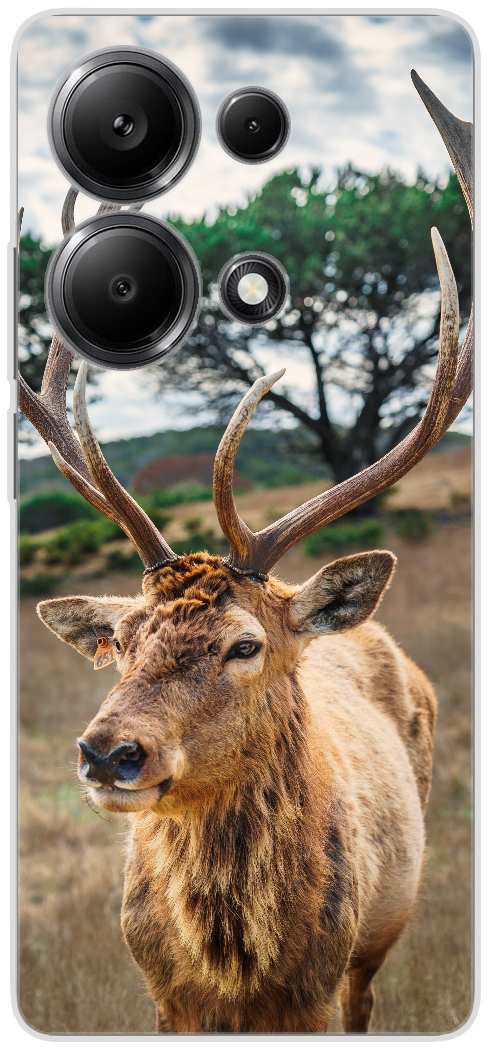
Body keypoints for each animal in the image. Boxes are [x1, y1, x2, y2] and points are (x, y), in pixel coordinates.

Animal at [19, 72, 472, 1033]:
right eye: (121, 640)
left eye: (245, 643)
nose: (108, 752)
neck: (238, 971)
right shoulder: (162, 997)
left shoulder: (322, 986)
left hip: (380, 938)